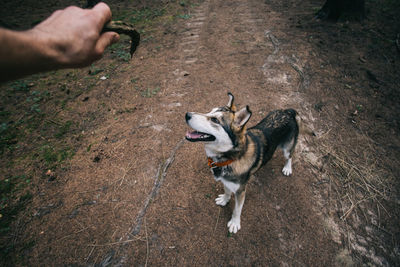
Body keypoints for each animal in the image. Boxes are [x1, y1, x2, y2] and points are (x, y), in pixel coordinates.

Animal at [186, 92, 304, 234]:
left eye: (215, 120)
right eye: (209, 111)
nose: (187, 115)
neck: (231, 157)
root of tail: (288, 111)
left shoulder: (240, 190)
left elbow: (237, 209)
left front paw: (235, 223)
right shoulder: (227, 181)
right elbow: (227, 191)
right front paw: (224, 200)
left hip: (287, 148)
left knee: (290, 155)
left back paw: (287, 168)